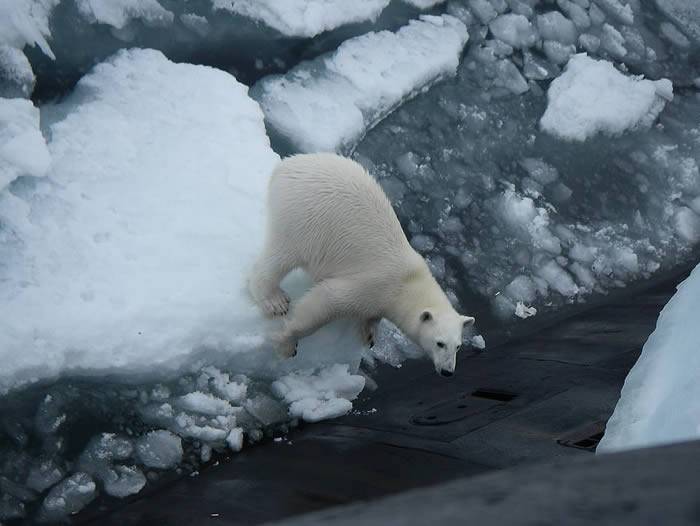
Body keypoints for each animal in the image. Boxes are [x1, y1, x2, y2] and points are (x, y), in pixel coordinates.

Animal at [247, 155, 476, 378]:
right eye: (440, 343)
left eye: (458, 346)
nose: (447, 371)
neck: (408, 282)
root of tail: (286, 166)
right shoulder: (375, 284)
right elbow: (326, 301)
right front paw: (287, 343)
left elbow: (372, 315)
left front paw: (370, 333)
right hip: (303, 219)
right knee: (282, 255)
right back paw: (274, 300)